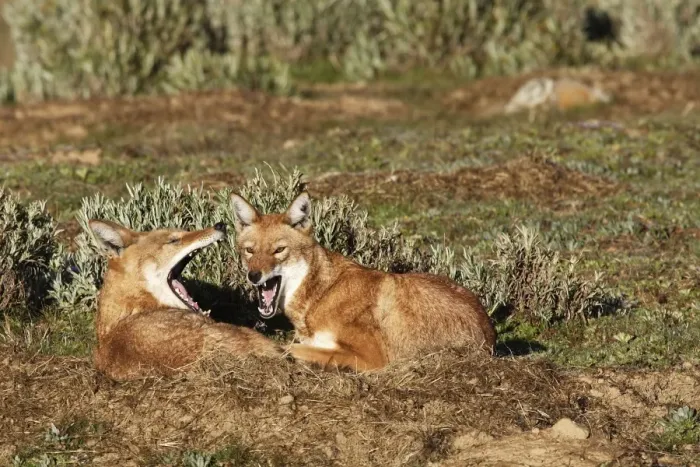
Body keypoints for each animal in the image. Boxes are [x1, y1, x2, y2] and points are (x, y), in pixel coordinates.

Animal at [230, 192, 497, 372]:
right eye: (250, 251)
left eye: (279, 250)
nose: (254, 275)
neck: (321, 294)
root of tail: (490, 332)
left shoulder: (372, 356)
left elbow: (290, 348)